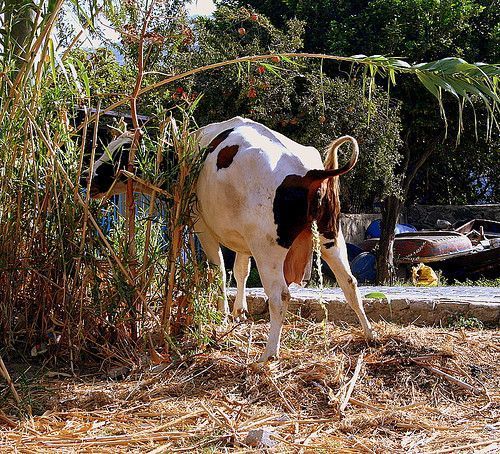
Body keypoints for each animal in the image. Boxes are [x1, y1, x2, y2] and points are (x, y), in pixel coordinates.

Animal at [85, 116, 376, 362]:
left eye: (120, 152)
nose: (87, 178)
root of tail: (310, 172)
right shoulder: (243, 240)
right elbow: (240, 271)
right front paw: (239, 313)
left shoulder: (202, 226)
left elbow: (219, 273)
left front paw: (222, 316)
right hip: (330, 235)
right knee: (349, 282)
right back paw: (369, 334)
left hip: (268, 247)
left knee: (280, 295)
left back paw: (269, 353)